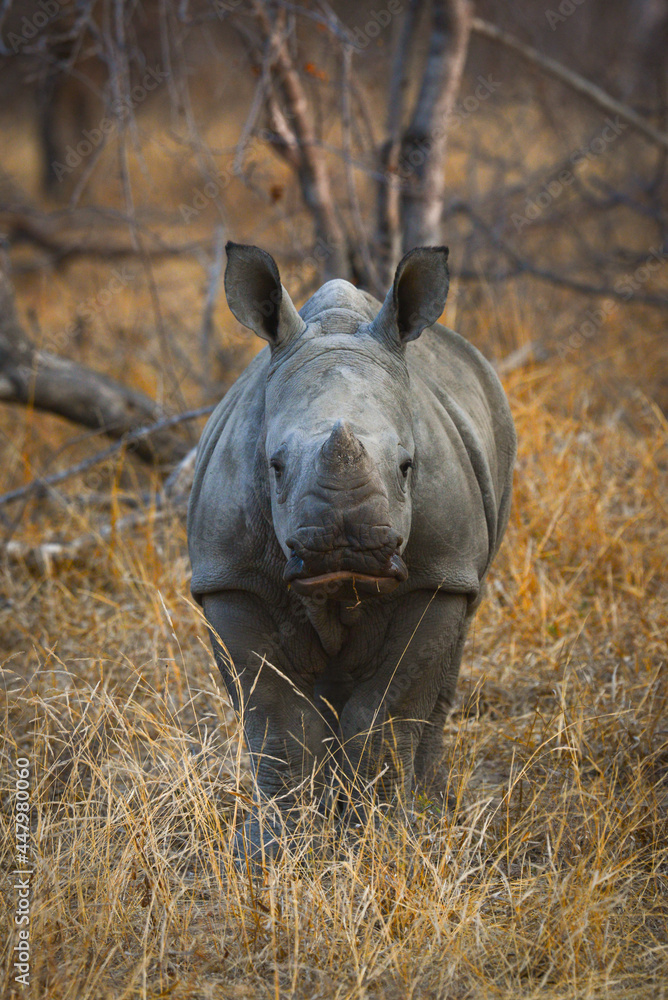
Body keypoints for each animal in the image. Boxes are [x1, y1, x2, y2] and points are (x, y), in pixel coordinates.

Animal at [187, 242, 516, 856]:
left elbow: (386, 712)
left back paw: (431, 806)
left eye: (408, 466)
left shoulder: (436, 575)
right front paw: (271, 848)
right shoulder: (230, 578)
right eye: (274, 466)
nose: (345, 548)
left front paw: (387, 837)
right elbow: (277, 721)